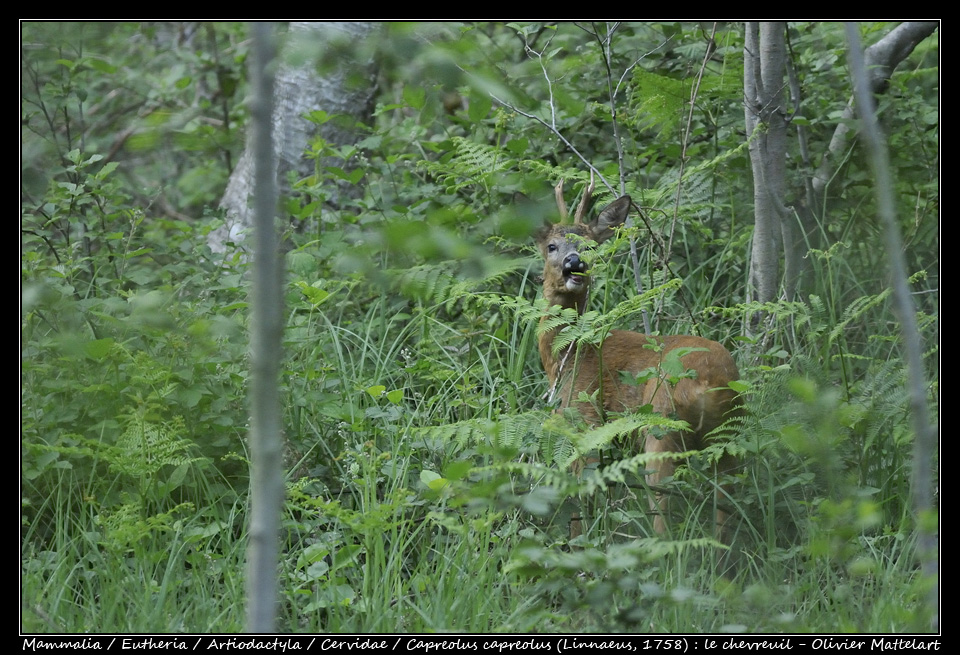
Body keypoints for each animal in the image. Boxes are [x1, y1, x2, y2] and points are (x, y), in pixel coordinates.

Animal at [528, 177, 740, 540]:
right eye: (552, 245)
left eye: (589, 245)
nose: (574, 263)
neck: (568, 355)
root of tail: (710, 383)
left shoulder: (585, 421)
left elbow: (579, 502)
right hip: (727, 437)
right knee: (726, 510)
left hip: (661, 428)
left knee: (663, 510)